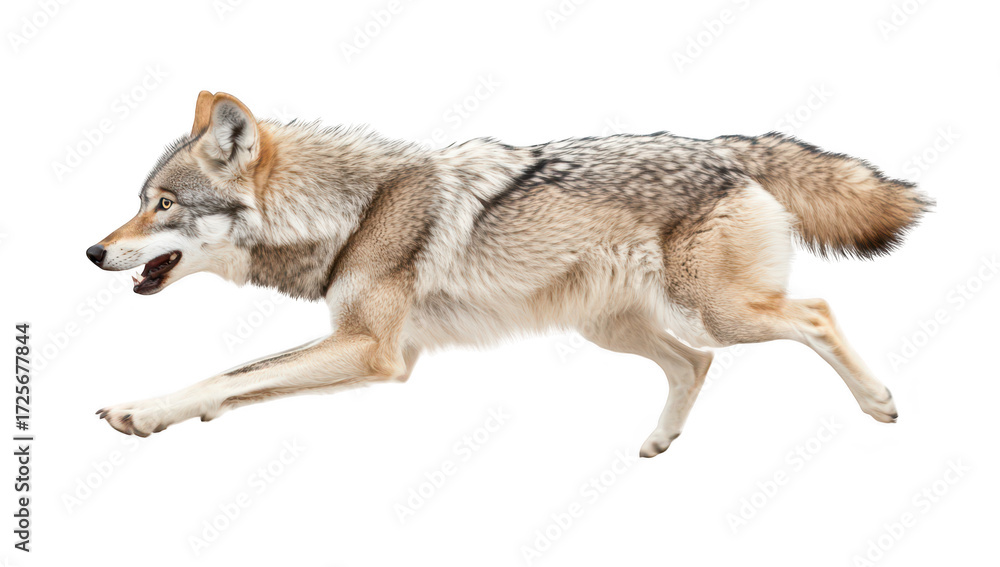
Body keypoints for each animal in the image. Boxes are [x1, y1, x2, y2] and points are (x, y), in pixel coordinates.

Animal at [87, 91, 930, 457]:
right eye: (139, 201)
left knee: (814, 313)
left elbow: (233, 370)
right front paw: (174, 415)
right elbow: (243, 379)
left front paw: (144, 410)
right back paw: (658, 442)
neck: (355, 210)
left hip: (720, 311)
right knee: (694, 364)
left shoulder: (373, 351)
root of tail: (727, 146)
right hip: (616, 329)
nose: (92, 252)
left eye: (162, 205)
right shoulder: (363, 348)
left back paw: (882, 403)